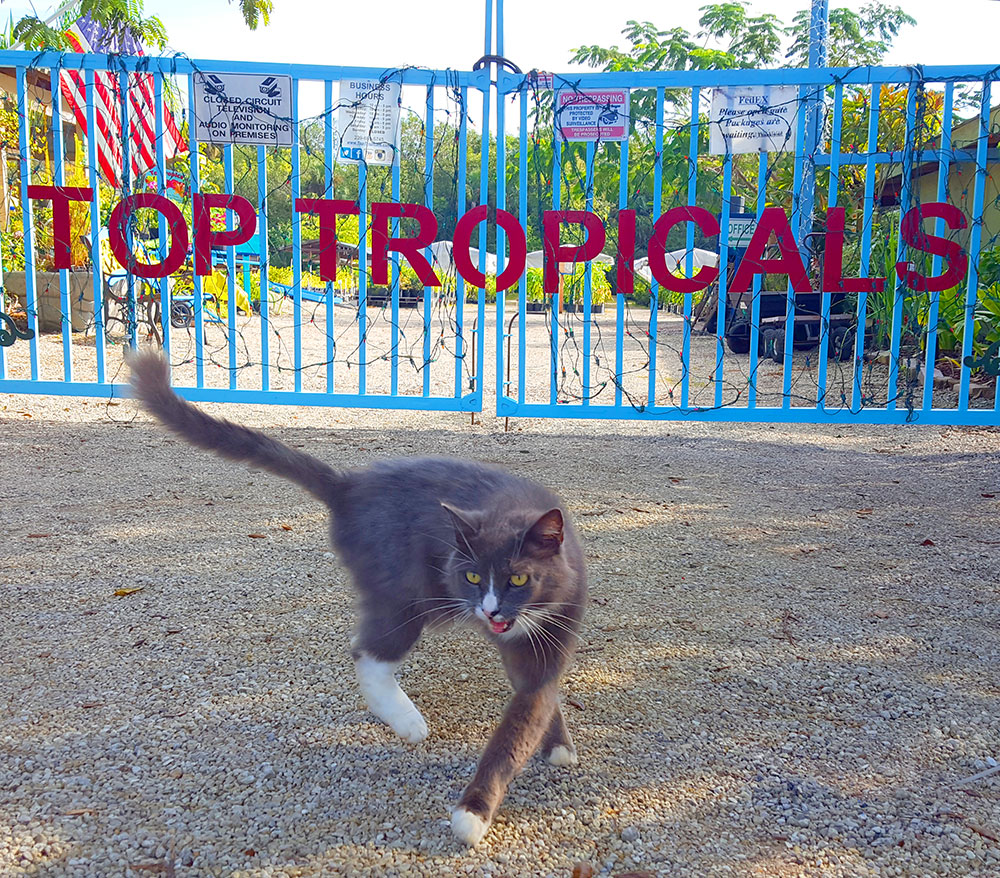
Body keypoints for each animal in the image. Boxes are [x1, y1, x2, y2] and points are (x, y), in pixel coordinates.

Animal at [129, 354, 588, 848]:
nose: (489, 609)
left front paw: (557, 746)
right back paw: (405, 720)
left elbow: (536, 698)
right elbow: (510, 737)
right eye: (471, 576)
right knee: (369, 653)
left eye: (518, 578)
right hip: (403, 590)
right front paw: (473, 813)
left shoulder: (548, 635)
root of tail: (348, 485)